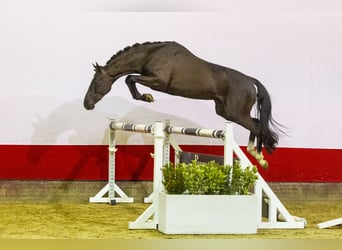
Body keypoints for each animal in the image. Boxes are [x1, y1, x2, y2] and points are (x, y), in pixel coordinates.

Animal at [83, 41, 280, 168]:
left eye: (96, 81)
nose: (87, 104)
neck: (151, 55)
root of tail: (250, 81)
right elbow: (130, 79)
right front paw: (145, 97)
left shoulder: (158, 81)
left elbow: (130, 78)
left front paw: (147, 97)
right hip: (226, 112)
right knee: (257, 123)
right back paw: (255, 153)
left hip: (236, 113)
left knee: (259, 128)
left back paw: (260, 158)